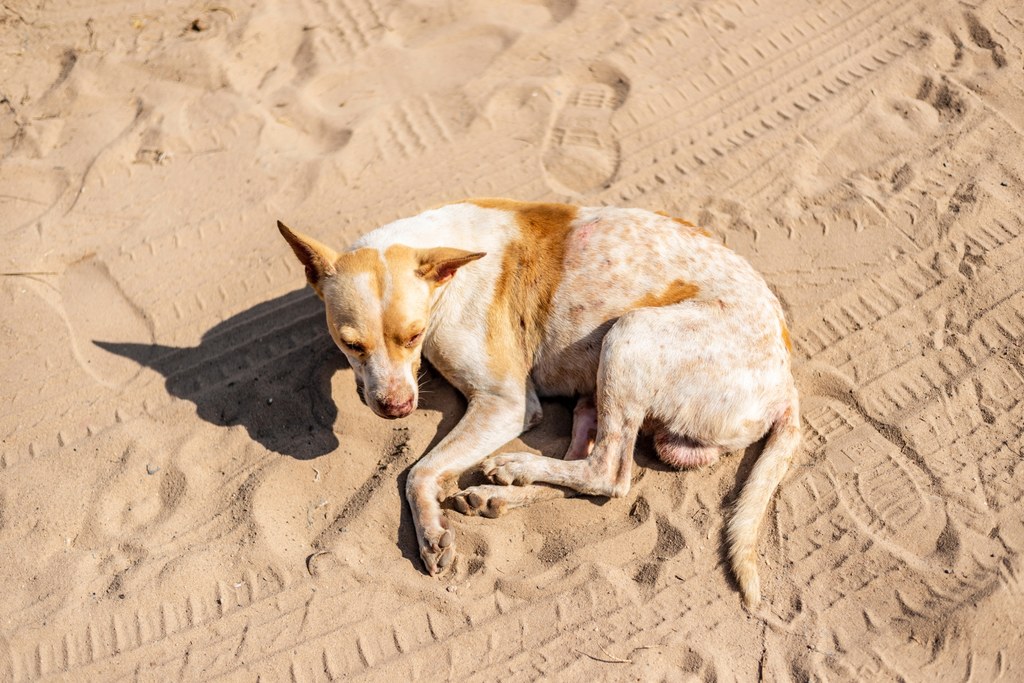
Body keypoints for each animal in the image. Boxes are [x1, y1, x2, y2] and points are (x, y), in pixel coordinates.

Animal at [278, 198, 798, 610]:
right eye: (351, 344)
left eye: (414, 335)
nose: (397, 408)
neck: (445, 268)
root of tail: (786, 384)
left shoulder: (505, 402)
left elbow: (417, 472)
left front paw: (429, 534)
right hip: (593, 395)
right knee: (588, 466)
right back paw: (500, 492)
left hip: (629, 335)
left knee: (609, 473)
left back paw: (513, 469)